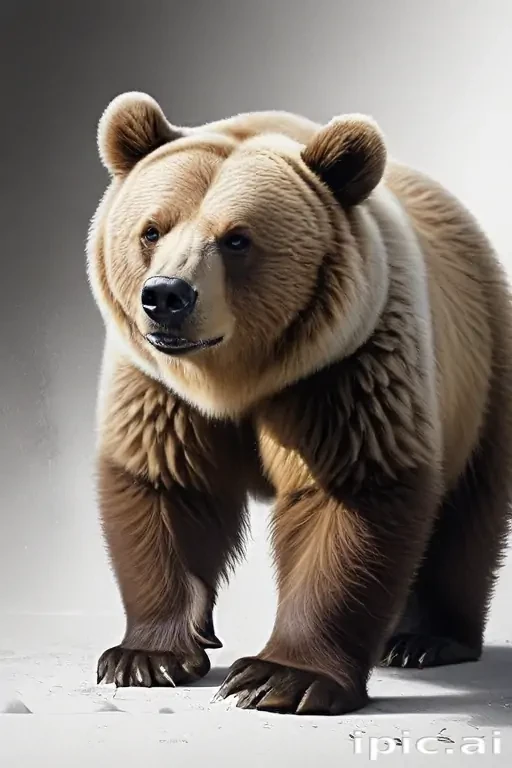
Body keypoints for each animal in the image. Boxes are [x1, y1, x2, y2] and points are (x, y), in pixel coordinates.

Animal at [86, 91, 512, 716]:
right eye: (152, 229)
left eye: (237, 238)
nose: (166, 296)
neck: (236, 378)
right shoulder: (159, 388)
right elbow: (167, 484)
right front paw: (144, 657)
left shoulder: (345, 370)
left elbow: (348, 495)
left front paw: (276, 678)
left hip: (479, 370)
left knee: (466, 512)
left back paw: (425, 639)